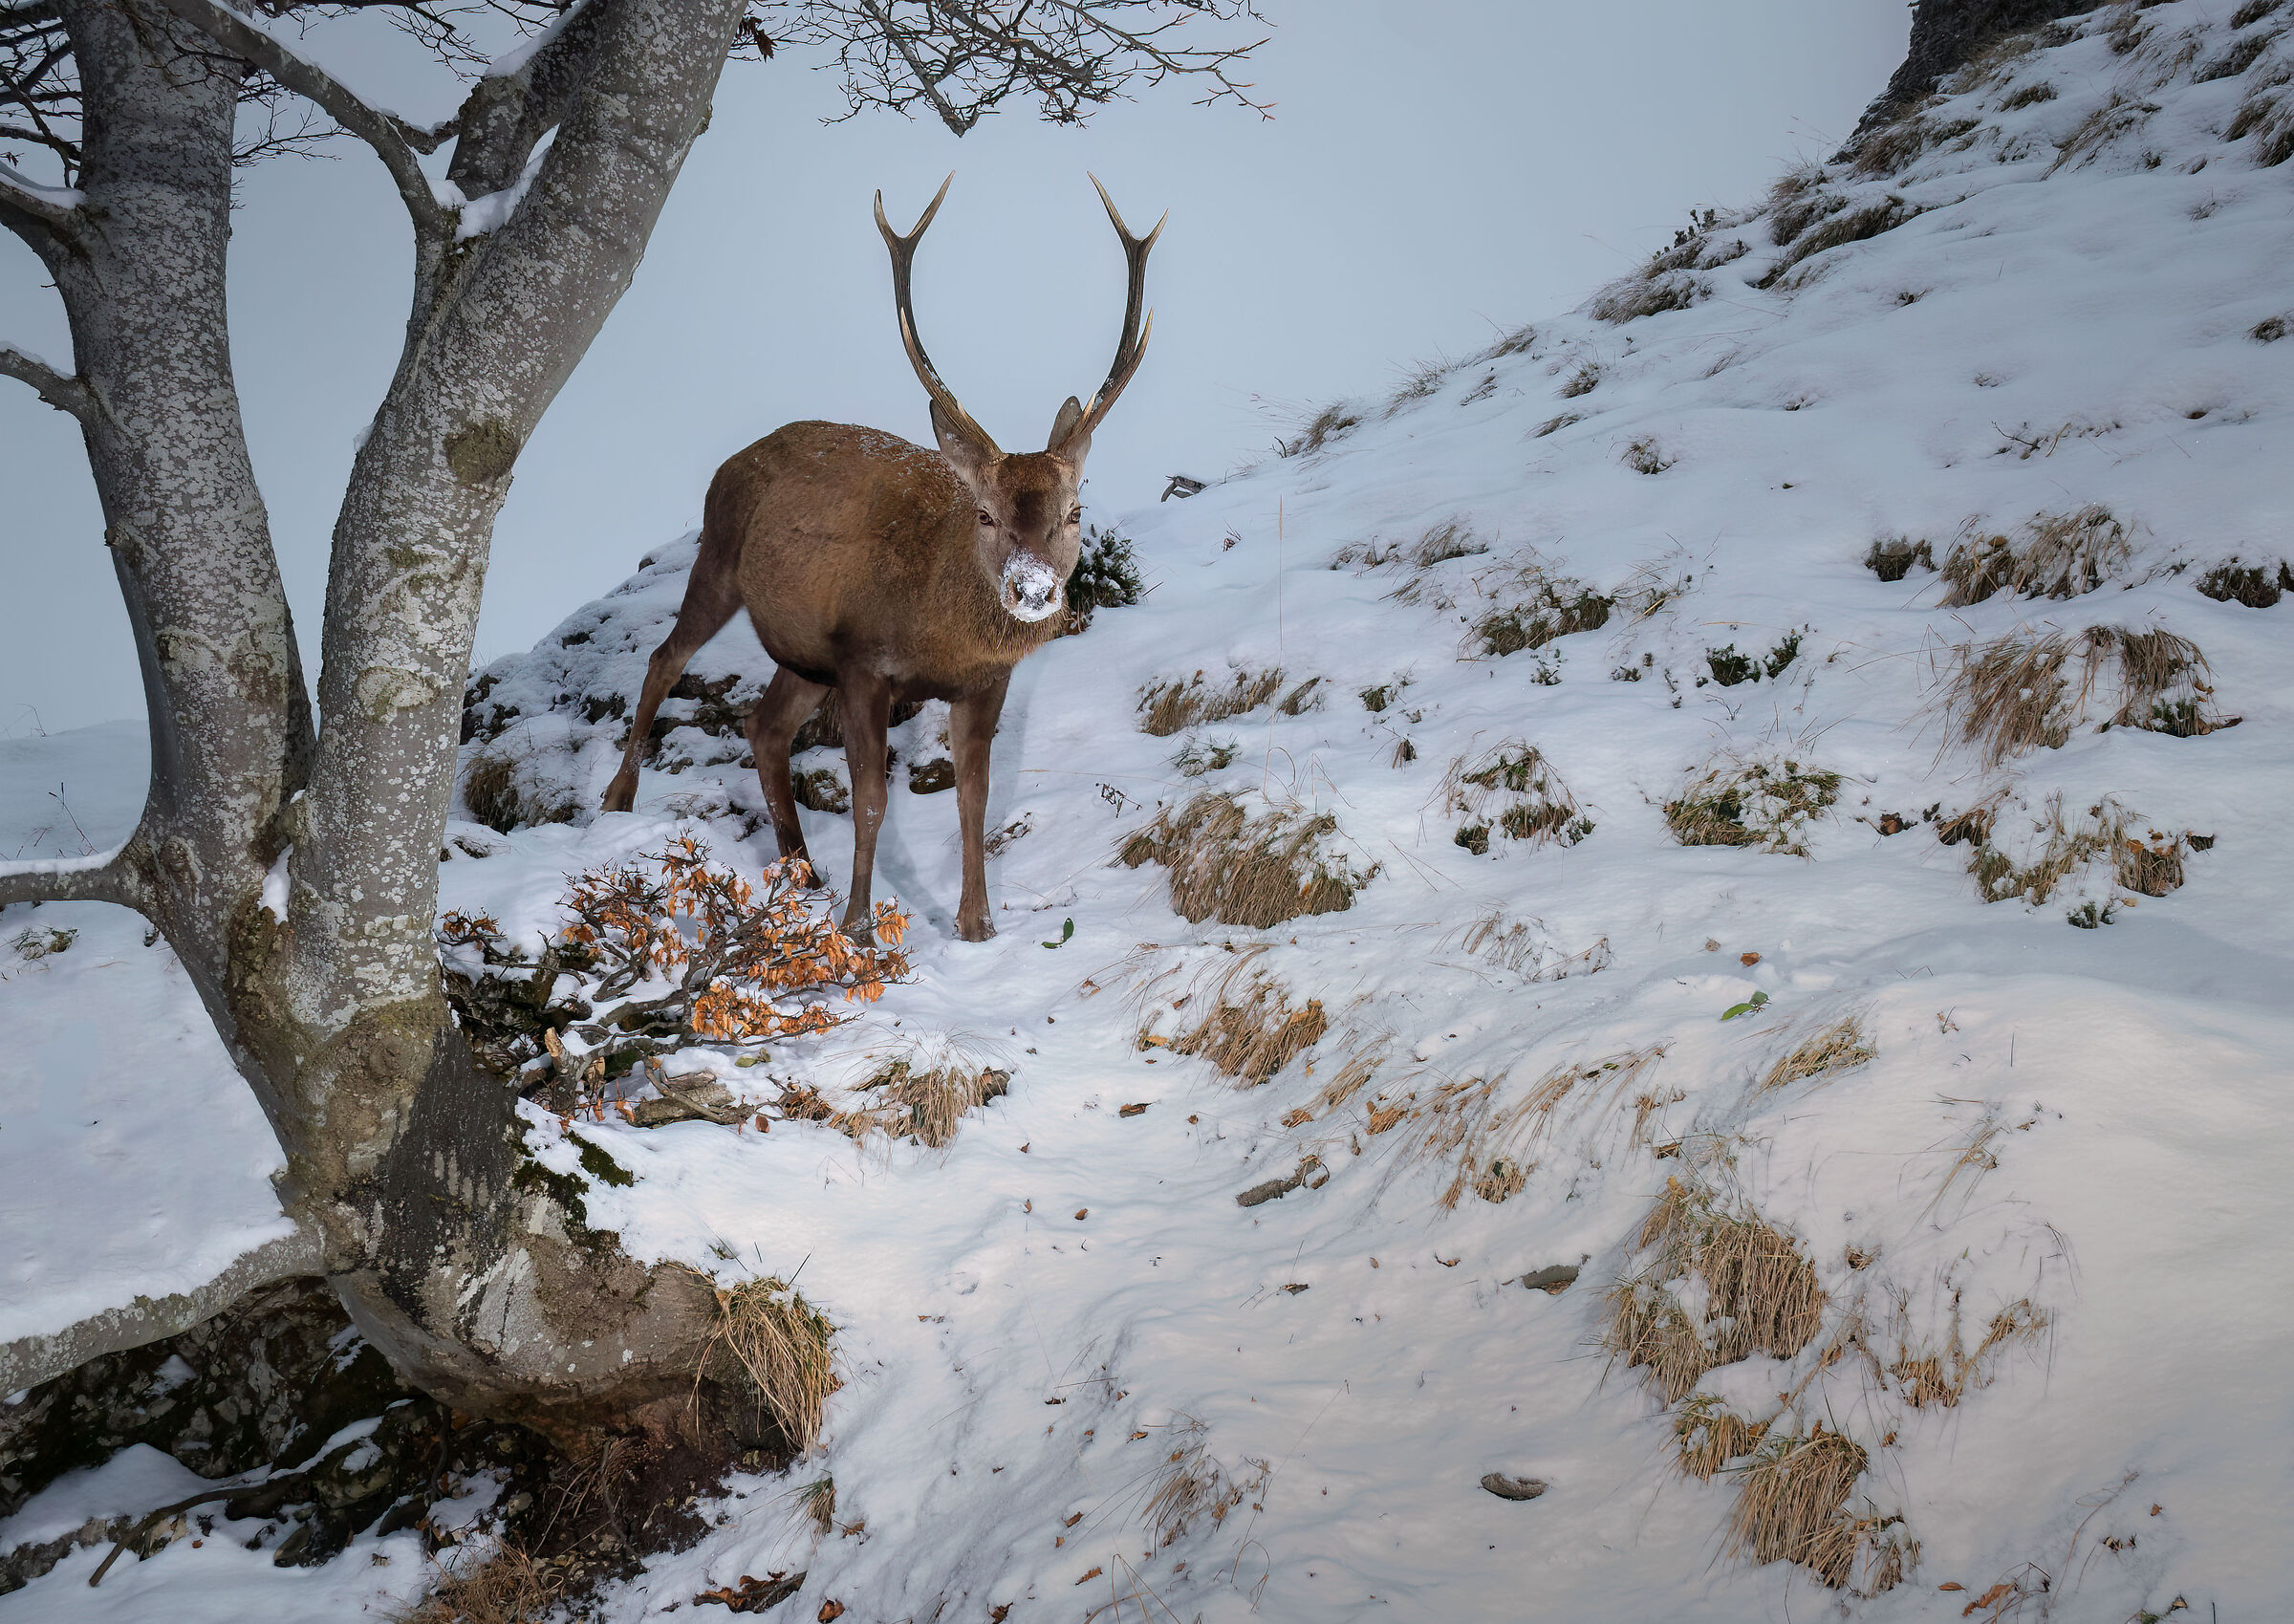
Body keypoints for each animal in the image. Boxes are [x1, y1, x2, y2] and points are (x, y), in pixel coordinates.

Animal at [599, 175, 1162, 943]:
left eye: (1073, 512)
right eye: (985, 513)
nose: (1033, 591)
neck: (937, 630)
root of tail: (731, 462)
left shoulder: (984, 681)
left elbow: (975, 797)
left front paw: (976, 925)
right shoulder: (863, 657)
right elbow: (871, 798)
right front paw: (861, 927)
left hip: (803, 652)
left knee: (764, 726)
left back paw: (802, 869)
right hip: (719, 557)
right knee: (666, 658)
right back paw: (618, 798)